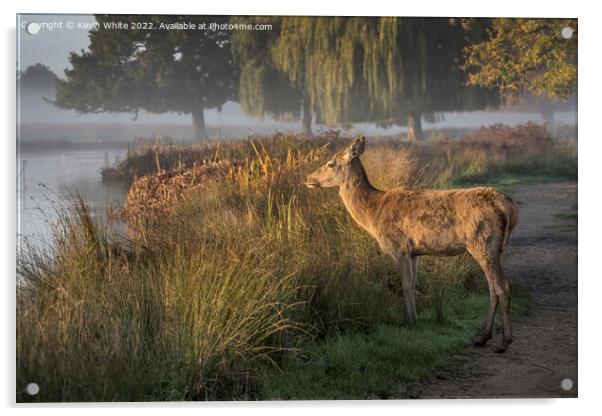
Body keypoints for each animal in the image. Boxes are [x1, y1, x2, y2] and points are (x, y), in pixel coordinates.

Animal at [302, 138, 516, 352]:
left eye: (330, 163)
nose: (307, 178)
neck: (373, 213)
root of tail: (509, 207)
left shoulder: (400, 247)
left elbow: (405, 285)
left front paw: (410, 322)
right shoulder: (415, 252)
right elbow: (412, 284)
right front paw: (415, 320)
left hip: (482, 242)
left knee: (501, 285)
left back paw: (504, 341)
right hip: (491, 247)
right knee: (493, 287)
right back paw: (484, 336)